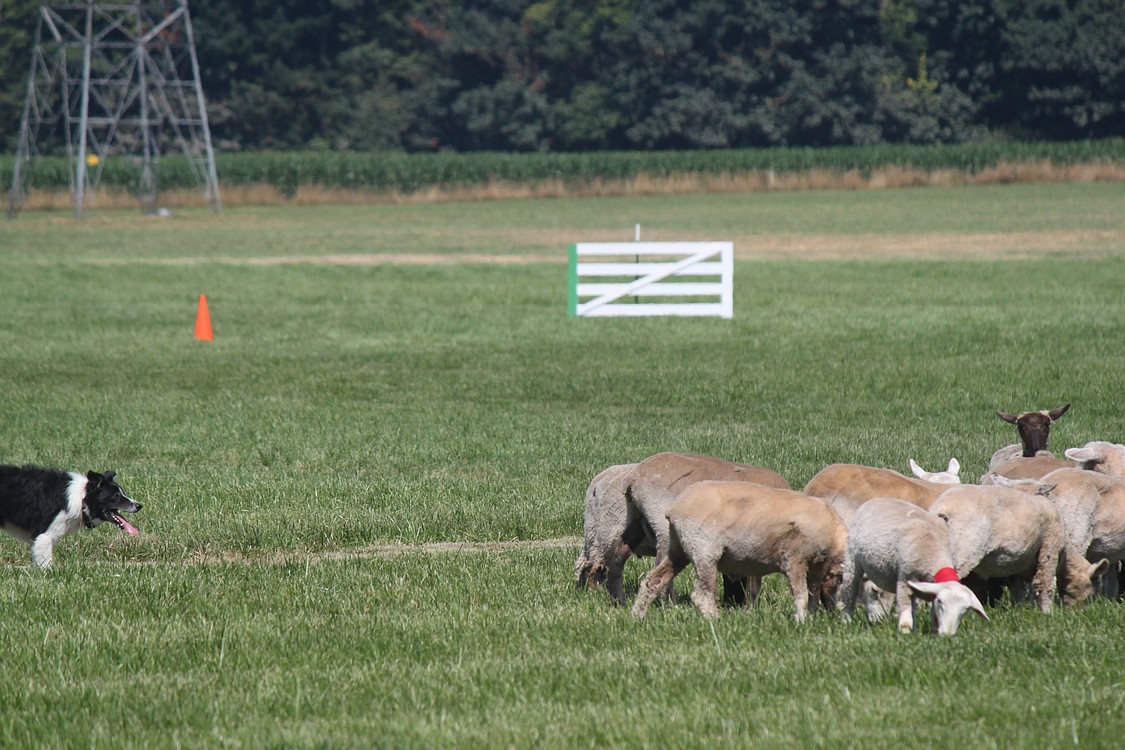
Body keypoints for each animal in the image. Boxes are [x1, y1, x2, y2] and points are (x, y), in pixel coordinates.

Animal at [837, 499, 985, 634]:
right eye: (941, 603)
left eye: (964, 611)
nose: (947, 635)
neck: (935, 554)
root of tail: (875, 499)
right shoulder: (904, 578)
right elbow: (905, 615)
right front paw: (905, 633)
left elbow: (932, 615)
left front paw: (932, 633)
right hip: (852, 560)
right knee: (850, 591)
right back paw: (846, 621)